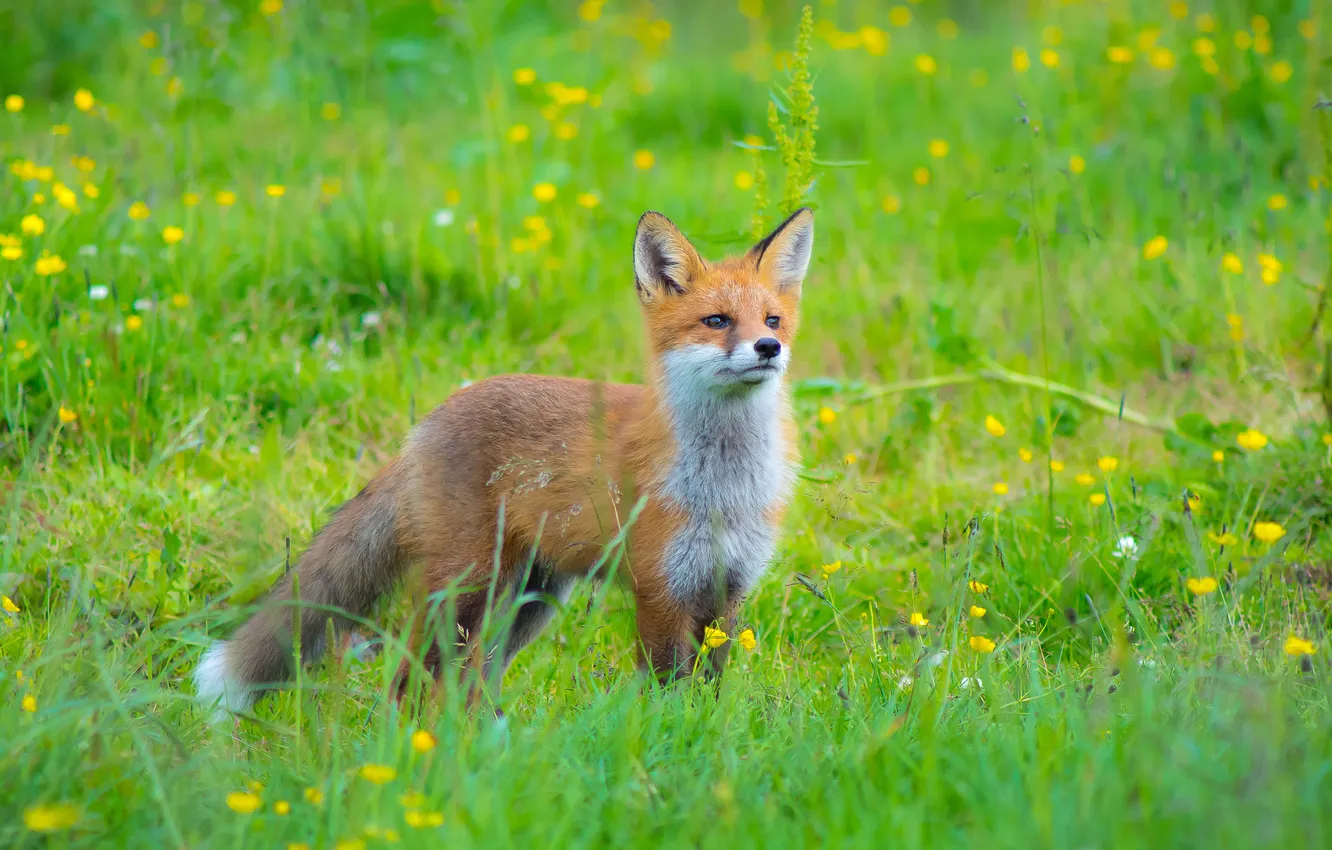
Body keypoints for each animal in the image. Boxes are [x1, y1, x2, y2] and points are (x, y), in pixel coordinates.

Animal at [194, 206, 815, 719]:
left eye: (772, 320)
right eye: (717, 321)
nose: (769, 348)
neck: (725, 490)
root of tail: (428, 422)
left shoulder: (728, 589)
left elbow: (709, 687)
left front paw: (700, 738)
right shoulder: (661, 588)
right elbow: (668, 687)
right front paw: (672, 741)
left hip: (526, 602)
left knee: (473, 684)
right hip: (467, 590)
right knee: (408, 680)